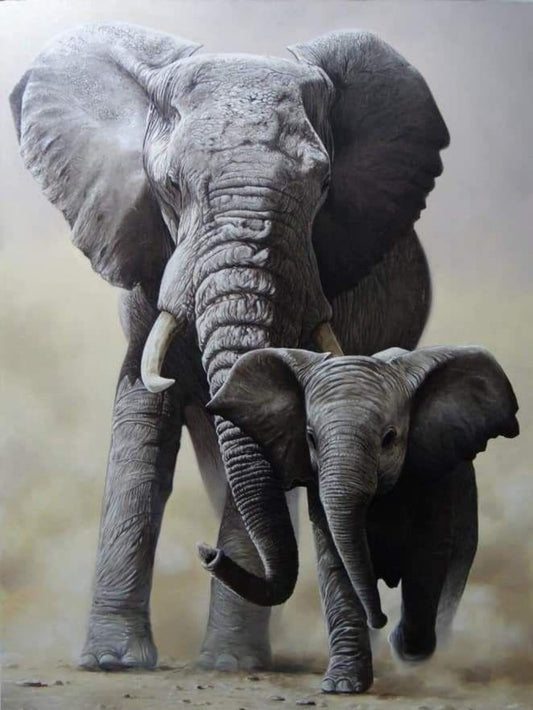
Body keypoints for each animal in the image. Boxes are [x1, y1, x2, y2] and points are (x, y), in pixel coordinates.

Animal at [10, 23, 449, 672]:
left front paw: (230, 666)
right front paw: (114, 663)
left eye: (324, 187)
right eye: (169, 186)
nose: (204, 556)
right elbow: (142, 426)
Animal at [206, 345, 519, 692]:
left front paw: (406, 649)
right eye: (310, 438)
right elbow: (337, 563)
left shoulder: (435, 475)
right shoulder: (319, 486)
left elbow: (427, 559)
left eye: (389, 438)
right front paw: (341, 686)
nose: (207, 553)